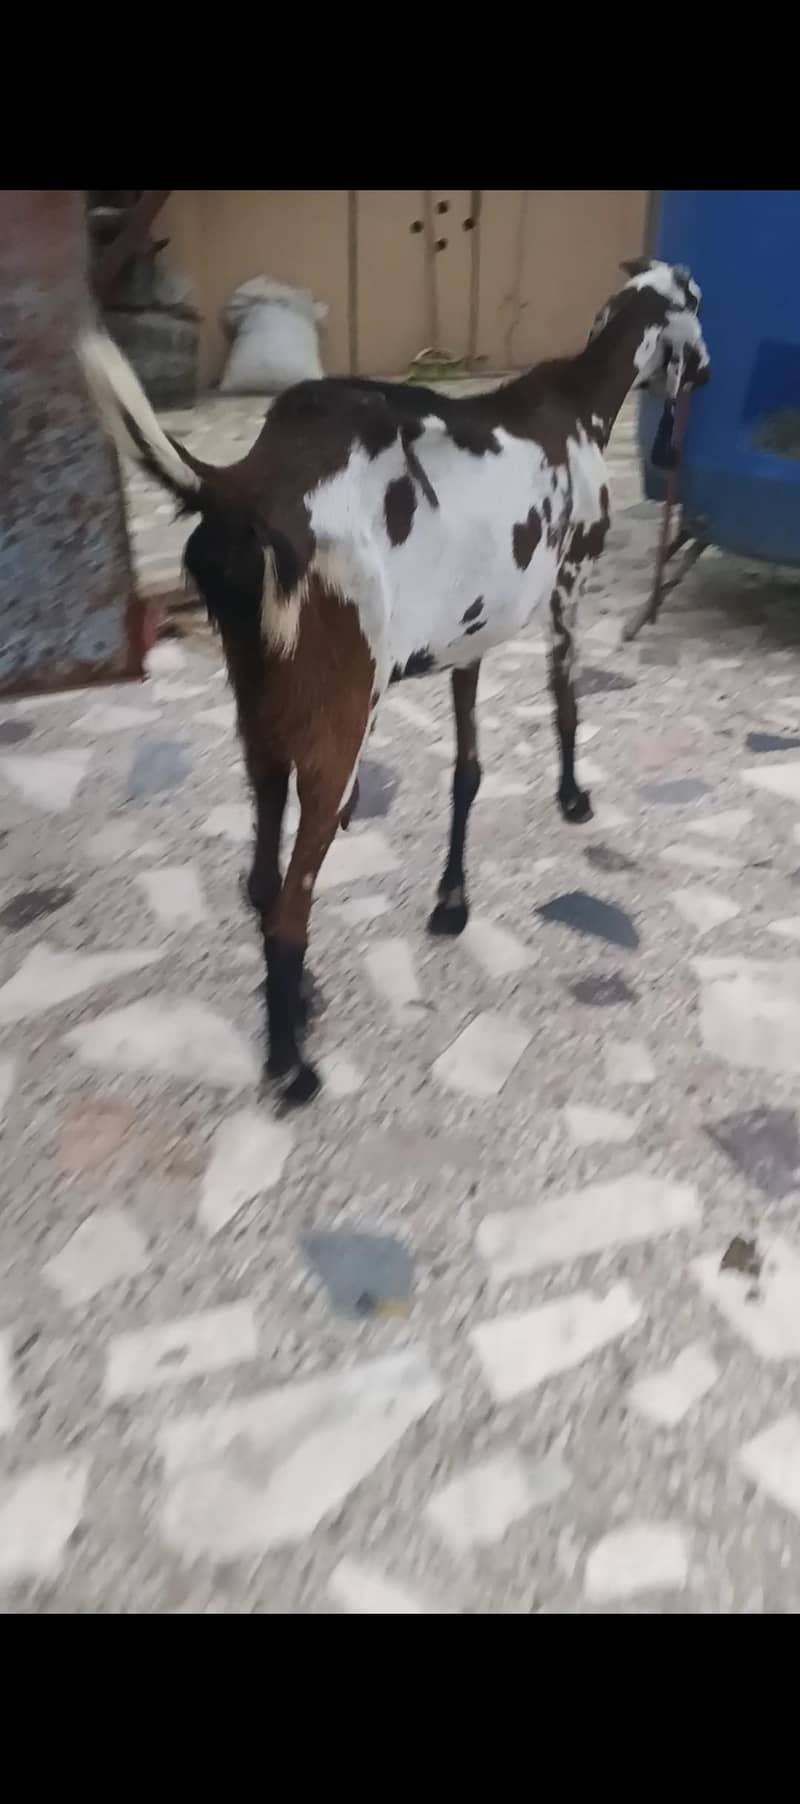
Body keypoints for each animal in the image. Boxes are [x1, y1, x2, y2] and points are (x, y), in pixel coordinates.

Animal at [78, 256, 710, 1107]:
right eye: (697, 302)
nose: (706, 373)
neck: (578, 401)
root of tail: (241, 488)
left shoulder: (470, 640)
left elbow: (468, 771)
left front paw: (453, 899)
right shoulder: (570, 587)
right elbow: (566, 701)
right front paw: (575, 797)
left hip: (263, 717)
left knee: (262, 879)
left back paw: (298, 1006)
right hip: (337, 730)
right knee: (290, 907)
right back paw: (292, 1067)